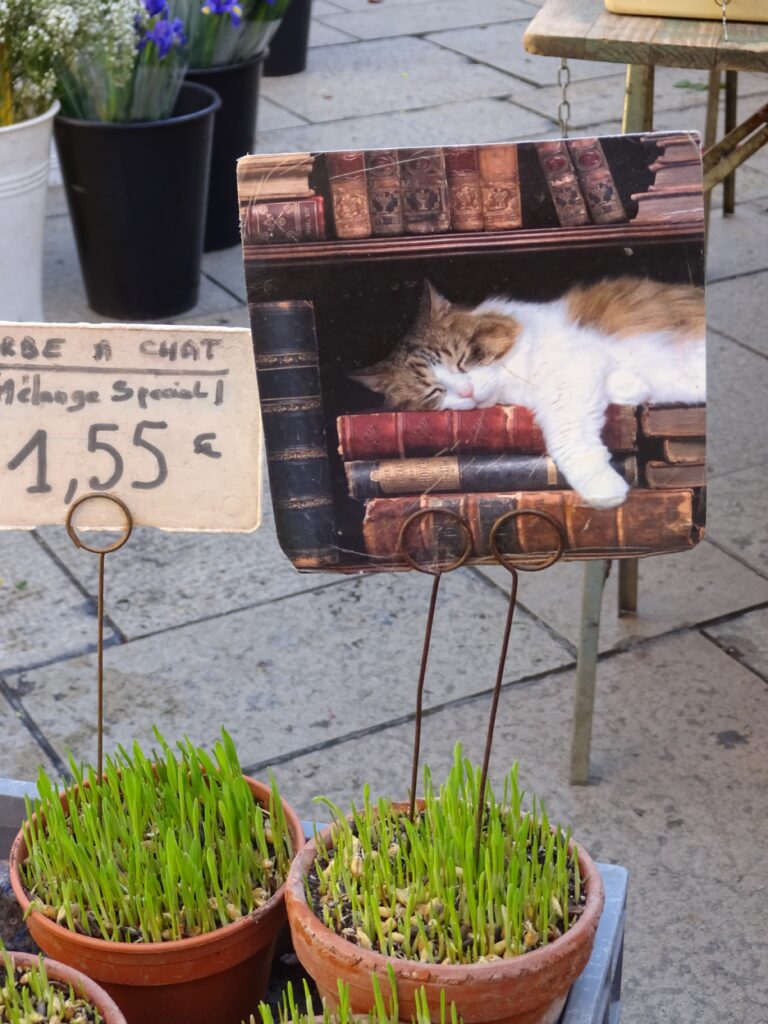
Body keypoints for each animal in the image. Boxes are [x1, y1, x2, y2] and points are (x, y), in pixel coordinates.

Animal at [352, 278, 708, 509]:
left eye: (464, 359)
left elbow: (565, 438)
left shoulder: (572, 373)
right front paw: (631, 386)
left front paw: (603, 490)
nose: (467, 392)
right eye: (434, 392)